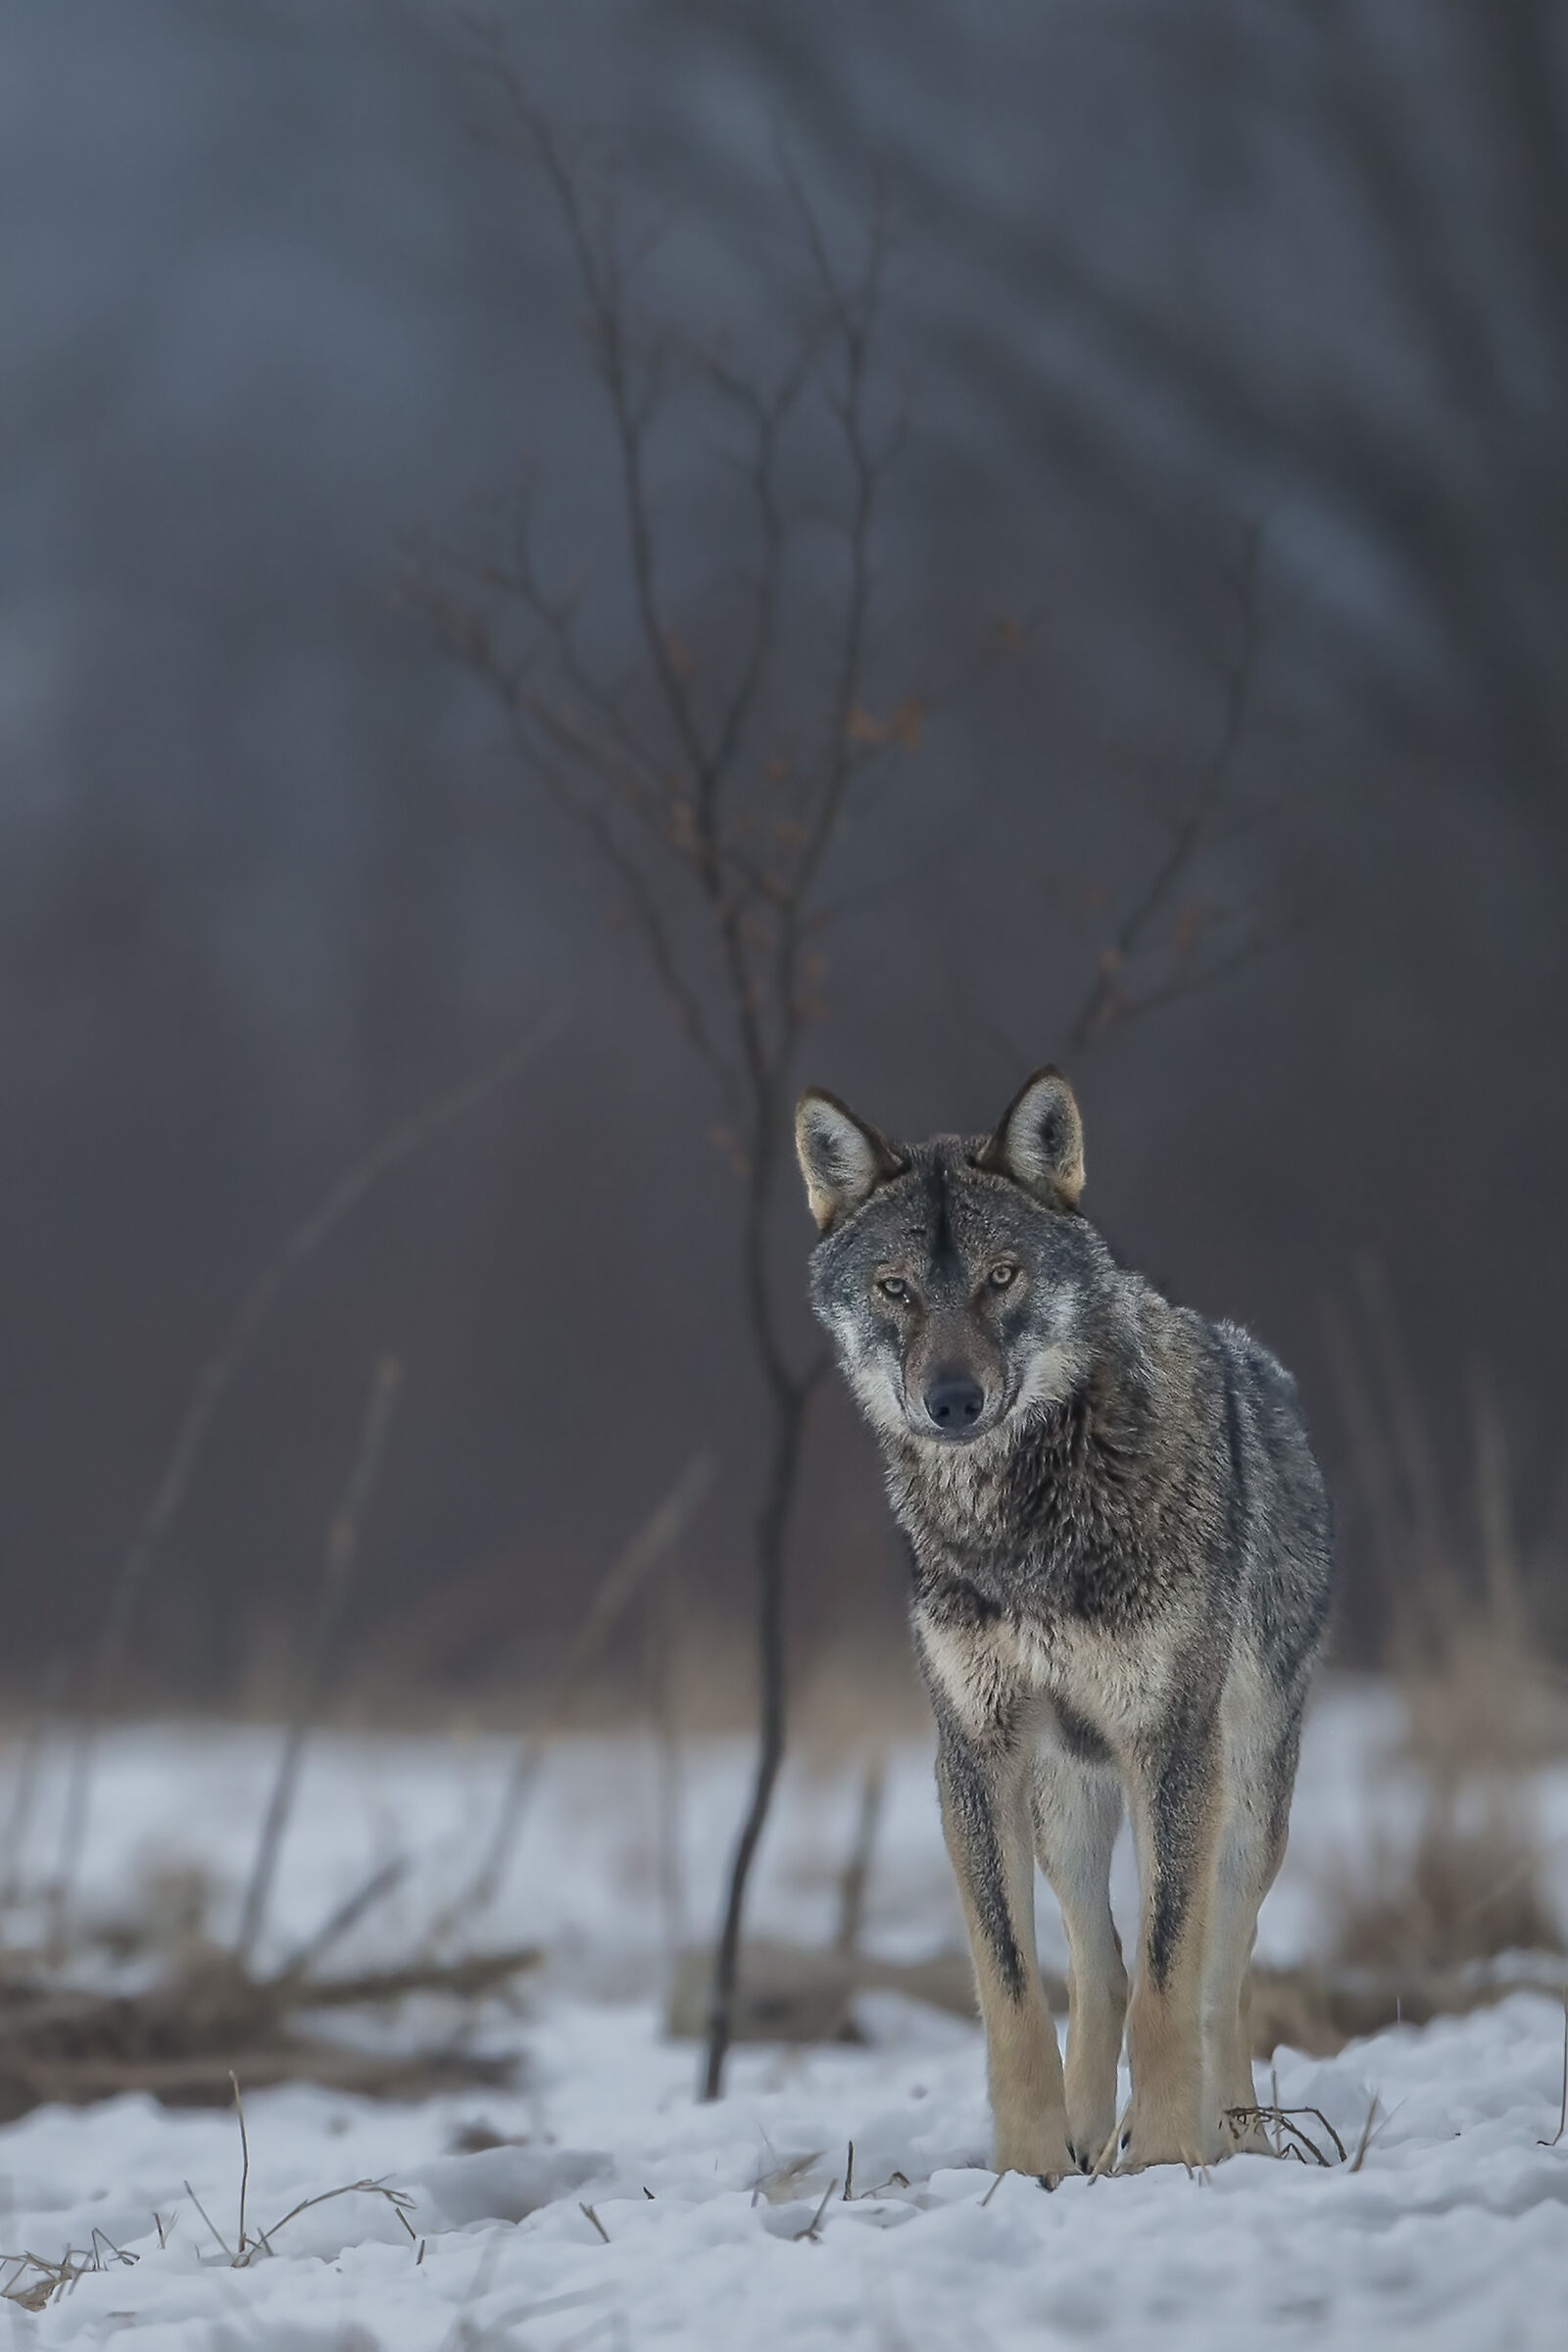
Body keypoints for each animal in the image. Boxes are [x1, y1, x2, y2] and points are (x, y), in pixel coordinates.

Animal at [795, 1066, 1331, 2177]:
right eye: (897, 1289)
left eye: (1002, 1277)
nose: (953, 1402)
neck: (1020, 1529)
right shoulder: (972, 1756)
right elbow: (1013, 1998)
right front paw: (1026, 2170)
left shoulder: (1171, 1745)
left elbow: (1174, 1986)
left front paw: (1165, 2162)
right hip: (1064, 1801)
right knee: (1098, 1965)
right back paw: (1088, 2143)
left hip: (1245, 1798)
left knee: (1221, 1975)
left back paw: (1234, 2143)